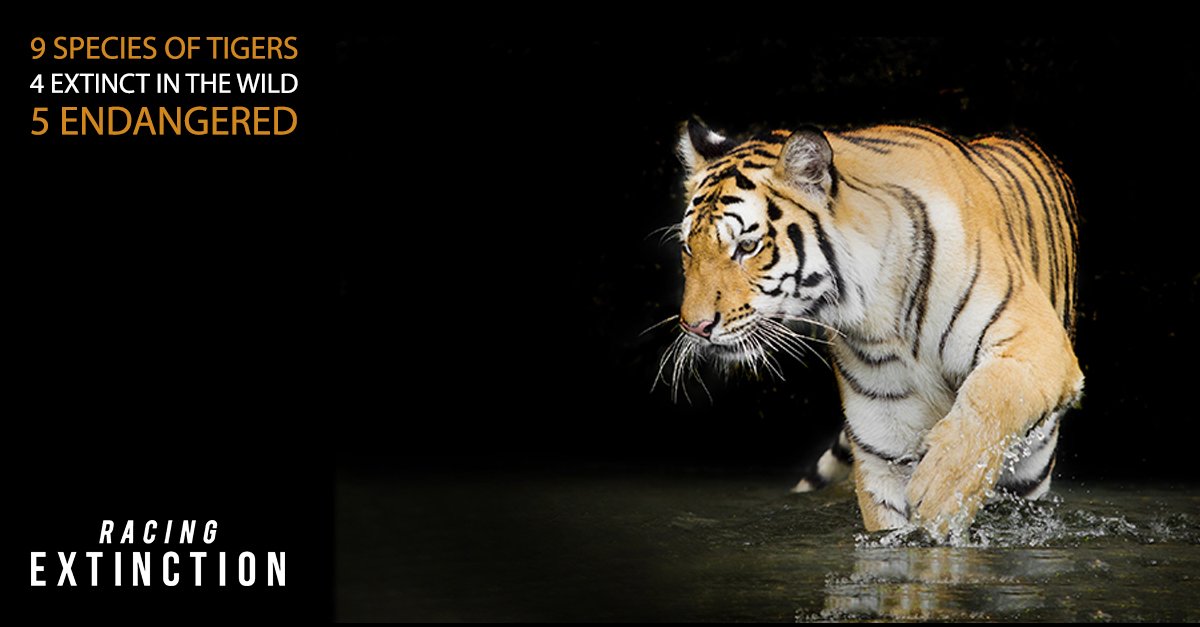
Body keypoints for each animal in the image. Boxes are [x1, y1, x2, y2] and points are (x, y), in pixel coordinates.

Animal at [666, 119, 1083, 539]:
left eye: (747, 246)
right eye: (688, 248)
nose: (695, 326)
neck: (878, 307)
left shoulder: (1036, 341)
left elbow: (992, 397)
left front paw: (941, 485)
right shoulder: (884, 438)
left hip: (1031, 467)